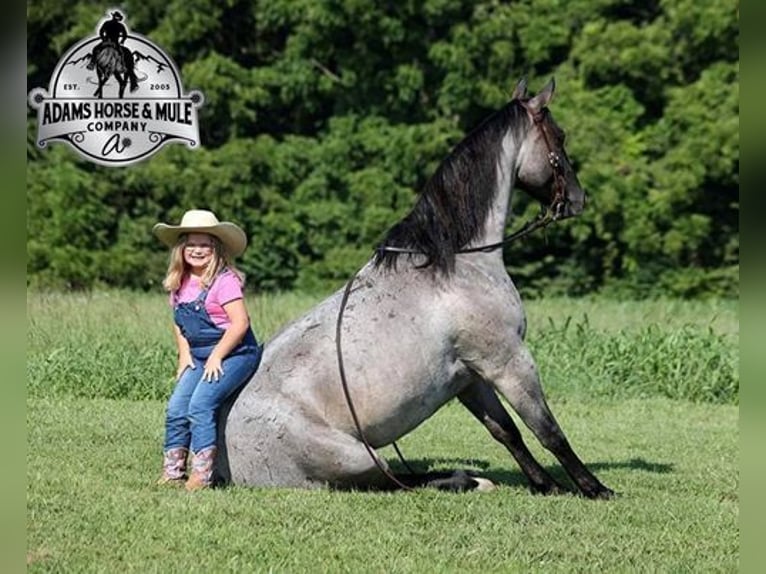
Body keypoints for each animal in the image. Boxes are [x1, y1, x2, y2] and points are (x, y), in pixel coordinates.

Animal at [219, 80, 616, 500]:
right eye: (560, 136)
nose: (577, 199)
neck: (457, 263)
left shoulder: (469, 376)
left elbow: (506, 432)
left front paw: (544, 485)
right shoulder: (509, 362)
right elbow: (548, 430)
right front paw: (593, 488)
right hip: (357, 457)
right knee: (393, 481)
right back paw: (467, 480)